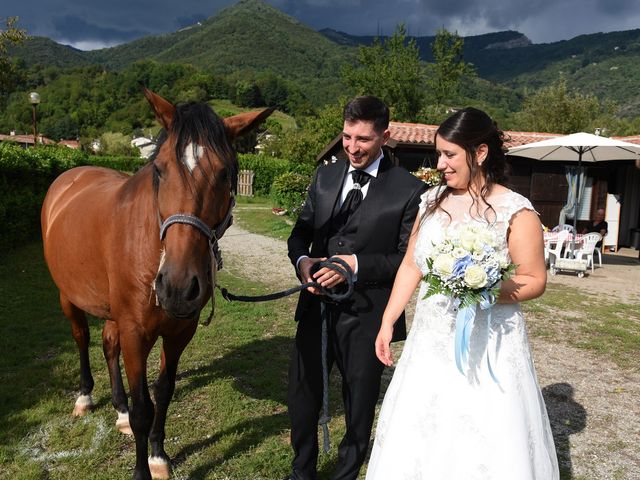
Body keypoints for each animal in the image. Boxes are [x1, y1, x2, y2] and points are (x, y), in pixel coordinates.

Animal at [40, 88, 270, 478]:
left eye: (226, 173)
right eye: (159, 170)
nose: (177, 287)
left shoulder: (179, 332)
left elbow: (162, 393)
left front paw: (158, 456)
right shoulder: (136, 333)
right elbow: (143, 409)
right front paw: (141, 469)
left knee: (108, 344)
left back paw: (118, 410)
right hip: (67, 296)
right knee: (82, 338)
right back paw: (85, 397)